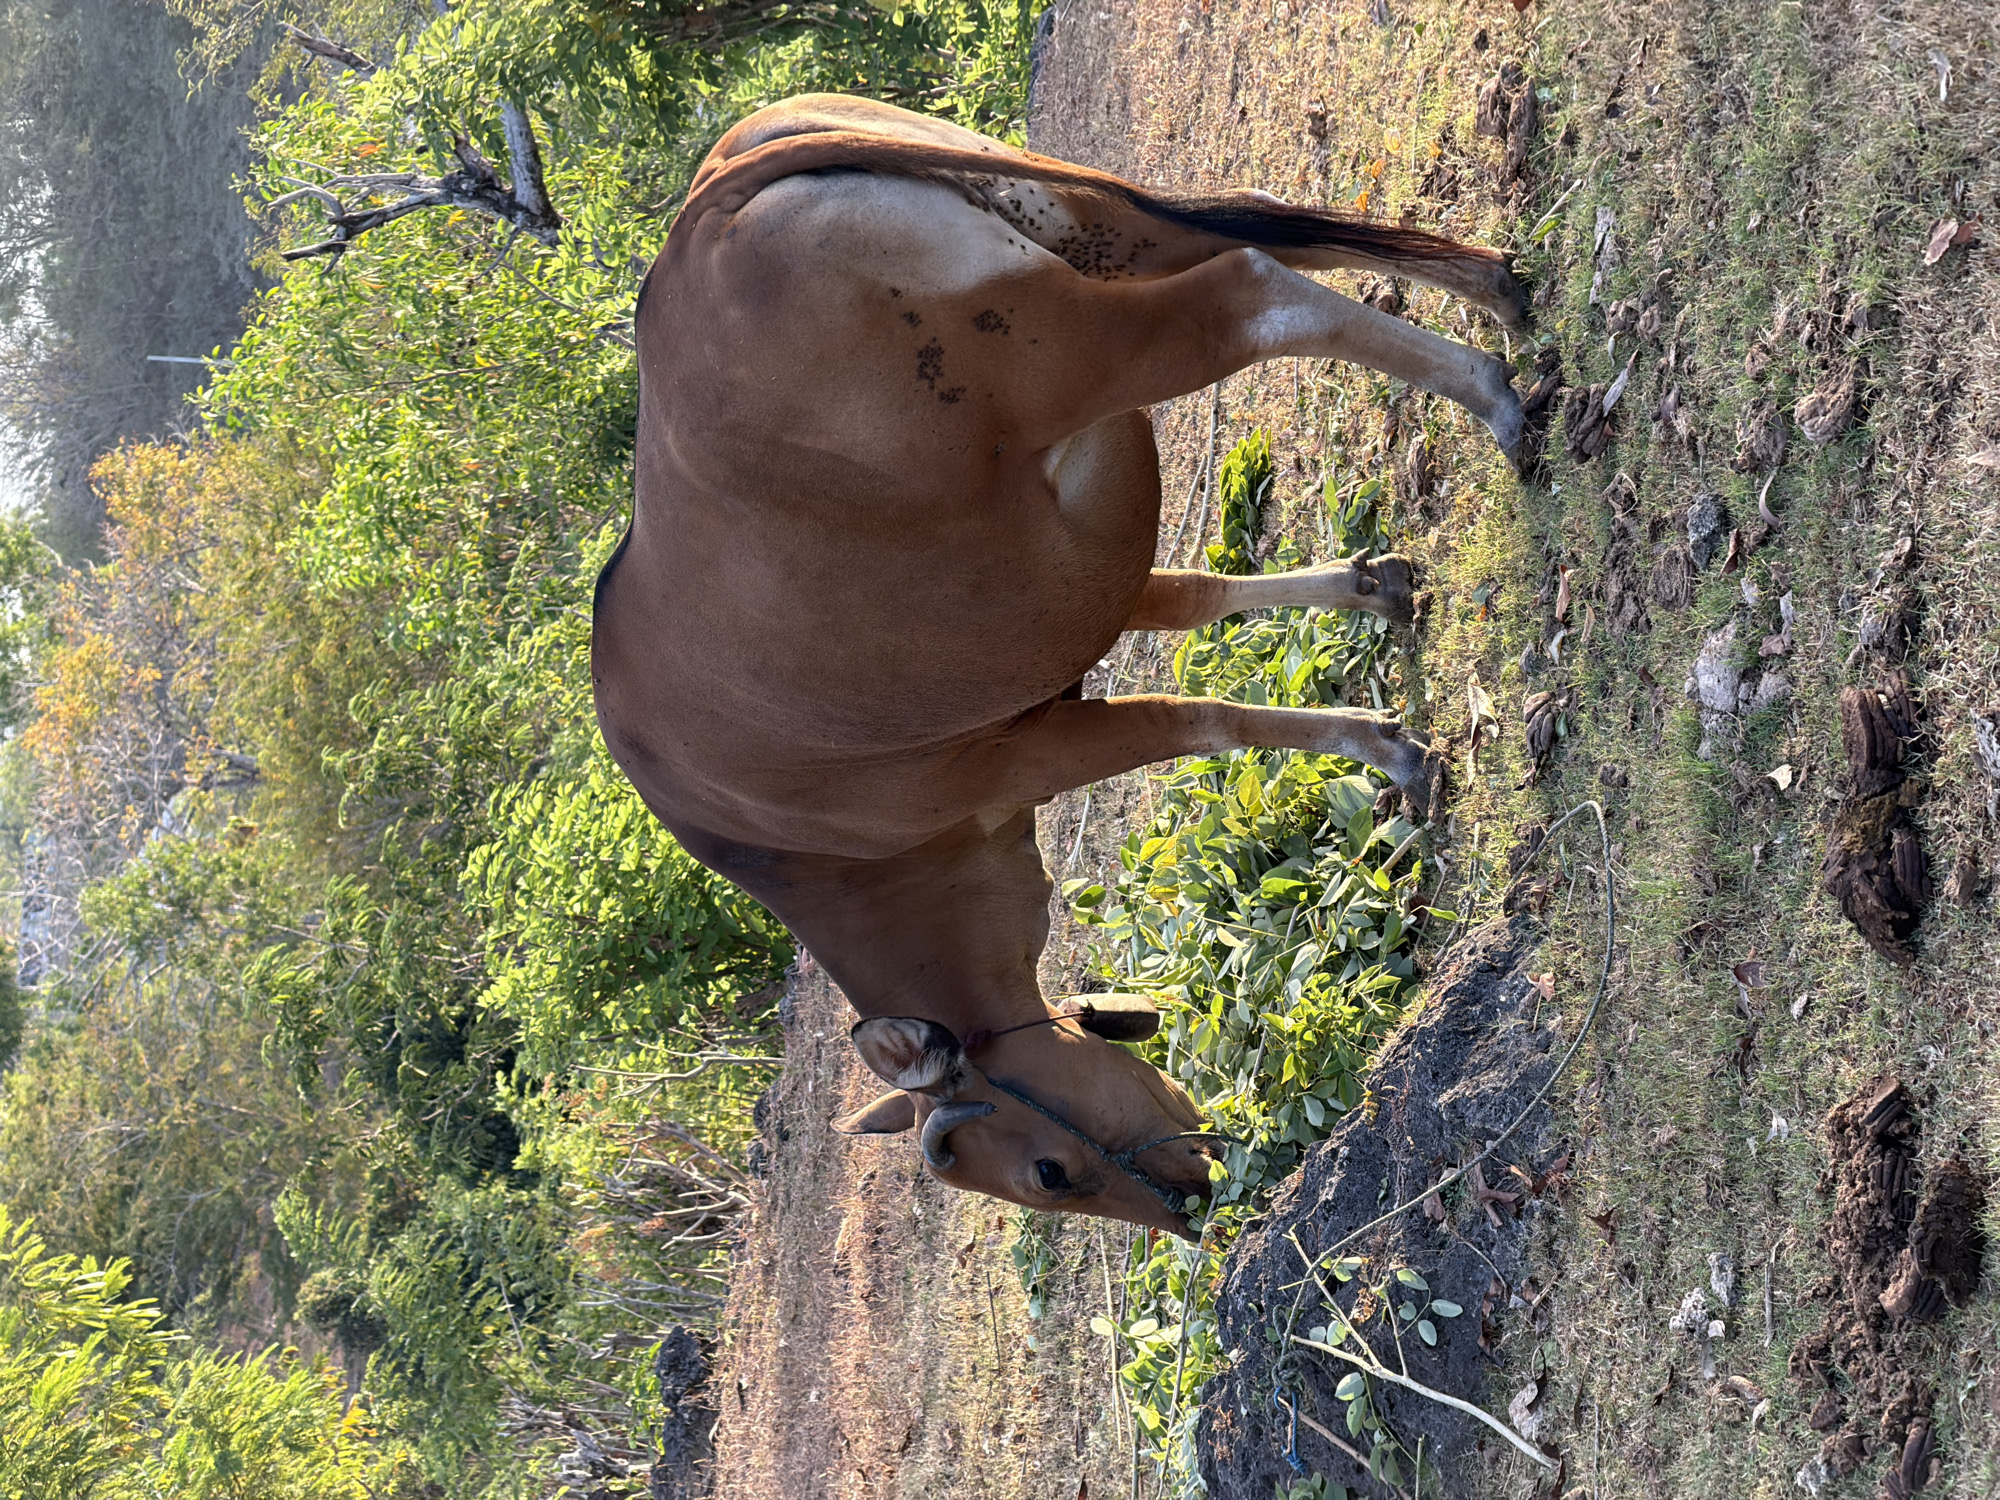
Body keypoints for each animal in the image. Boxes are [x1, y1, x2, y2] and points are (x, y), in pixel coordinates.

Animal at [591, 94, 1527, 1238]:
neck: (804, 846)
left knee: (1251, 293)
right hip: (1101, 231)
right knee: (1276, 234)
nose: (1189, 1210)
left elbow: (1198, 719)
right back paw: (1498, 290)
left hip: (1088, 346)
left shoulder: (1025, 755)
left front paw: (1389, 751)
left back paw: (1492, 391)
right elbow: (1200, 599)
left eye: (1045, 1170)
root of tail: (702, 222)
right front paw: (1373, 588)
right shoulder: (1097, 589)